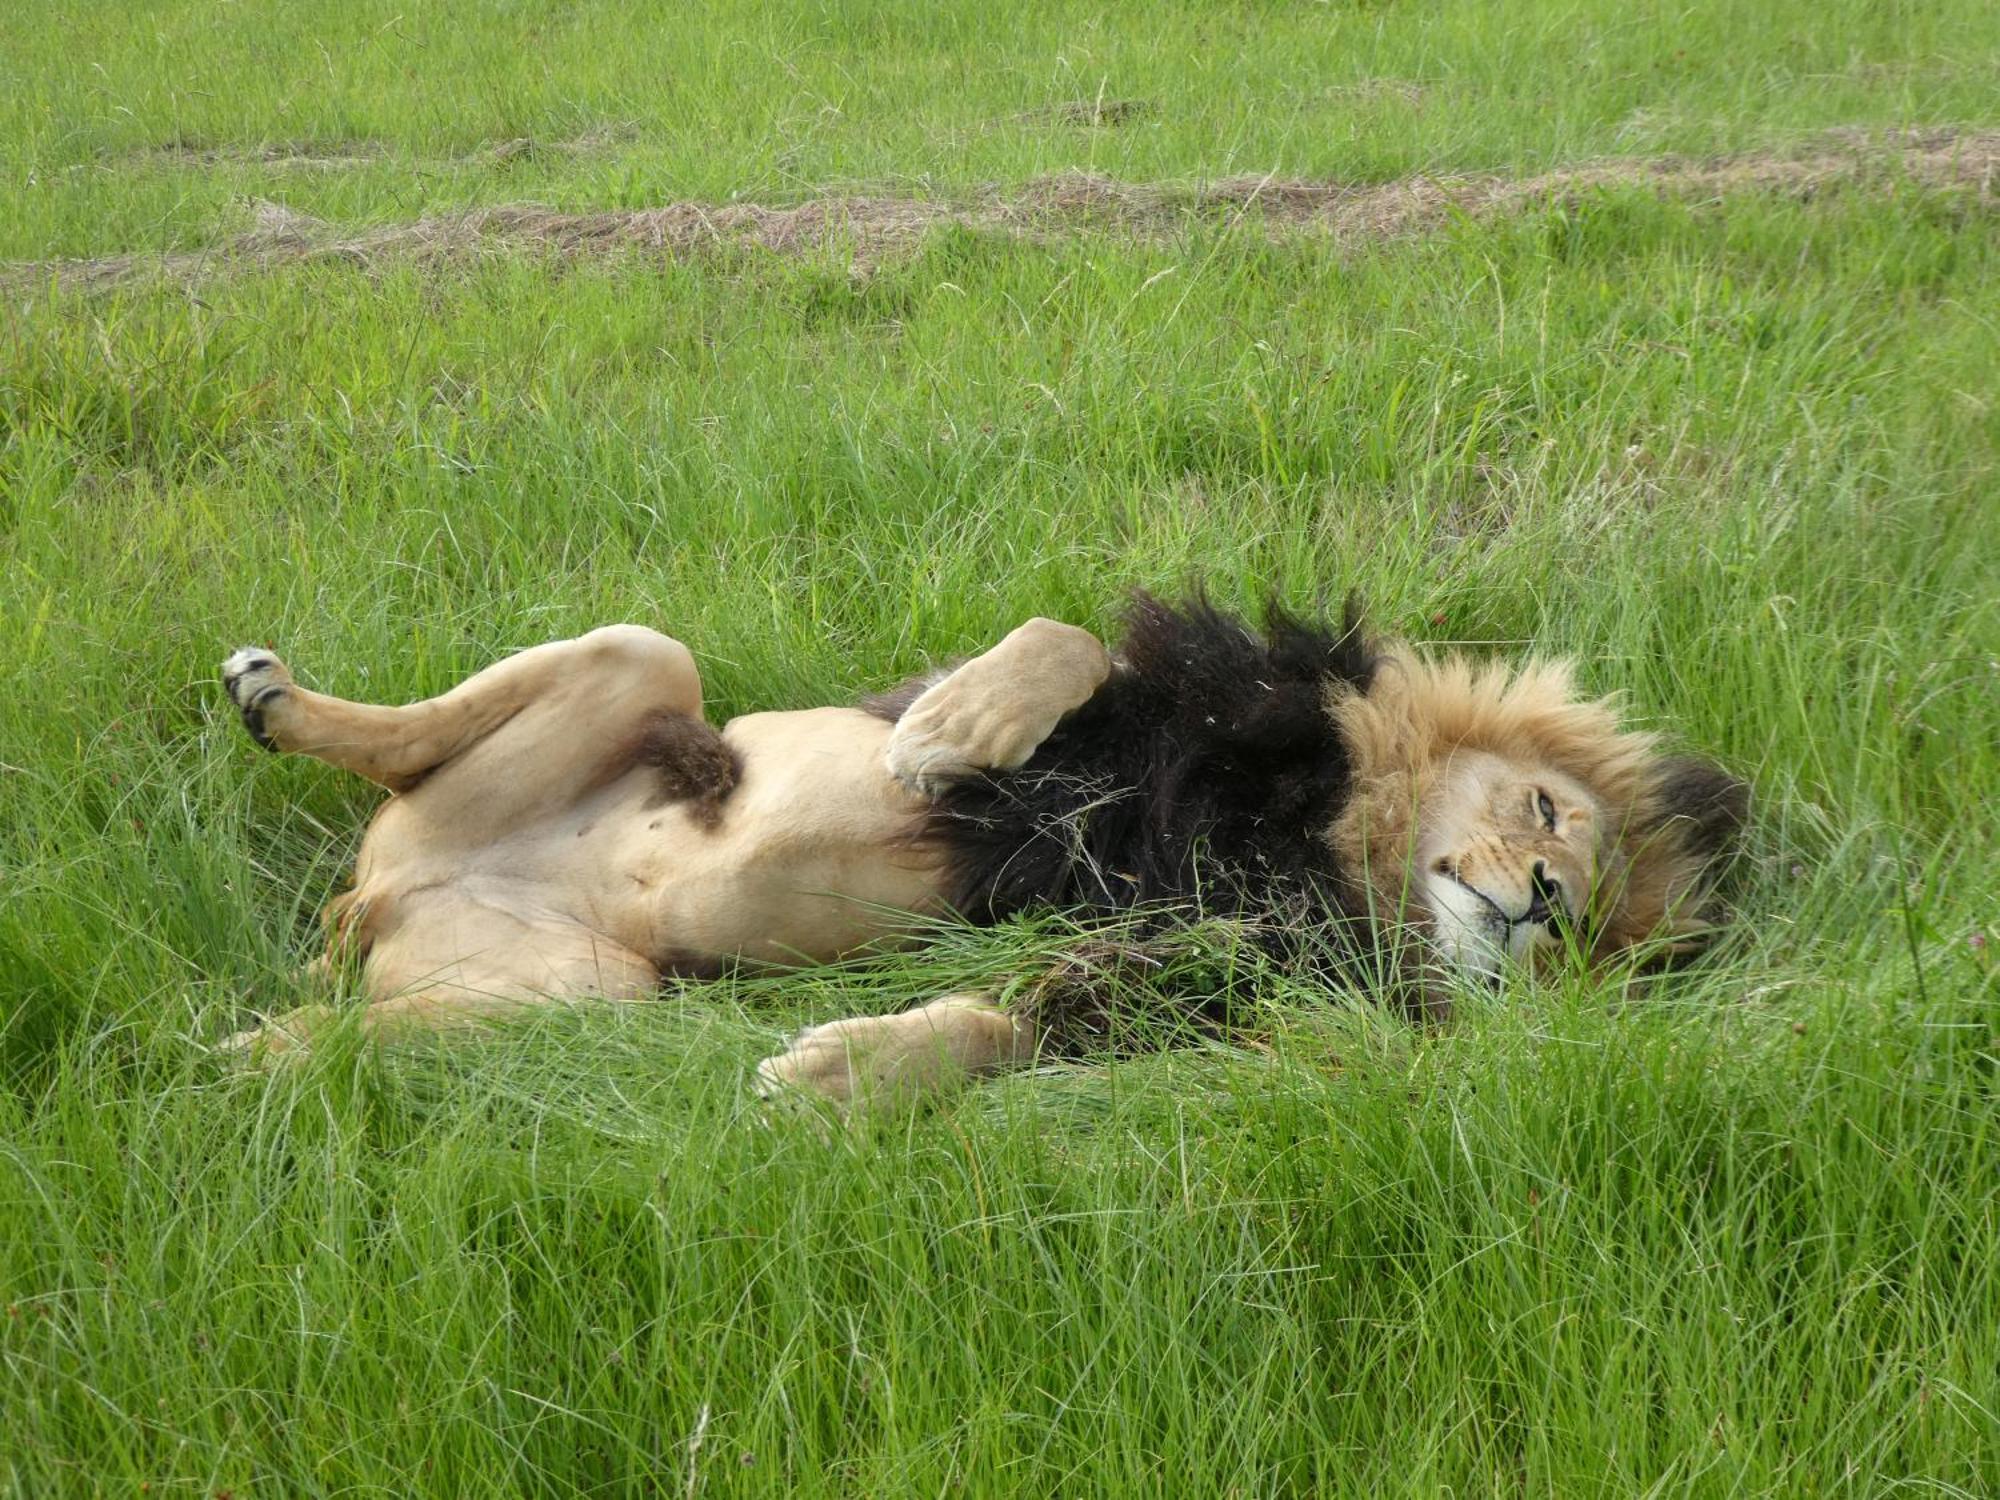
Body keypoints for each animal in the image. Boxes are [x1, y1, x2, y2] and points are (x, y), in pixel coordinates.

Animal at [223, 596, 1752, 1104]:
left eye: (1594, 939)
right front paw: (952, 727)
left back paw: (246, 1060)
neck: (1327, 849)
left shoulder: (1198, 969)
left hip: (582, 1000)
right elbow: (1055, 647)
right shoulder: (1164, 715)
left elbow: (1004, 1025)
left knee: (347, 1040)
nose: (1545, 905)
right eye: (1551, 817)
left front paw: (837, 1077)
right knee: (414, 732)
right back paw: (274, 696)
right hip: (643, 661)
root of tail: (379, 903)